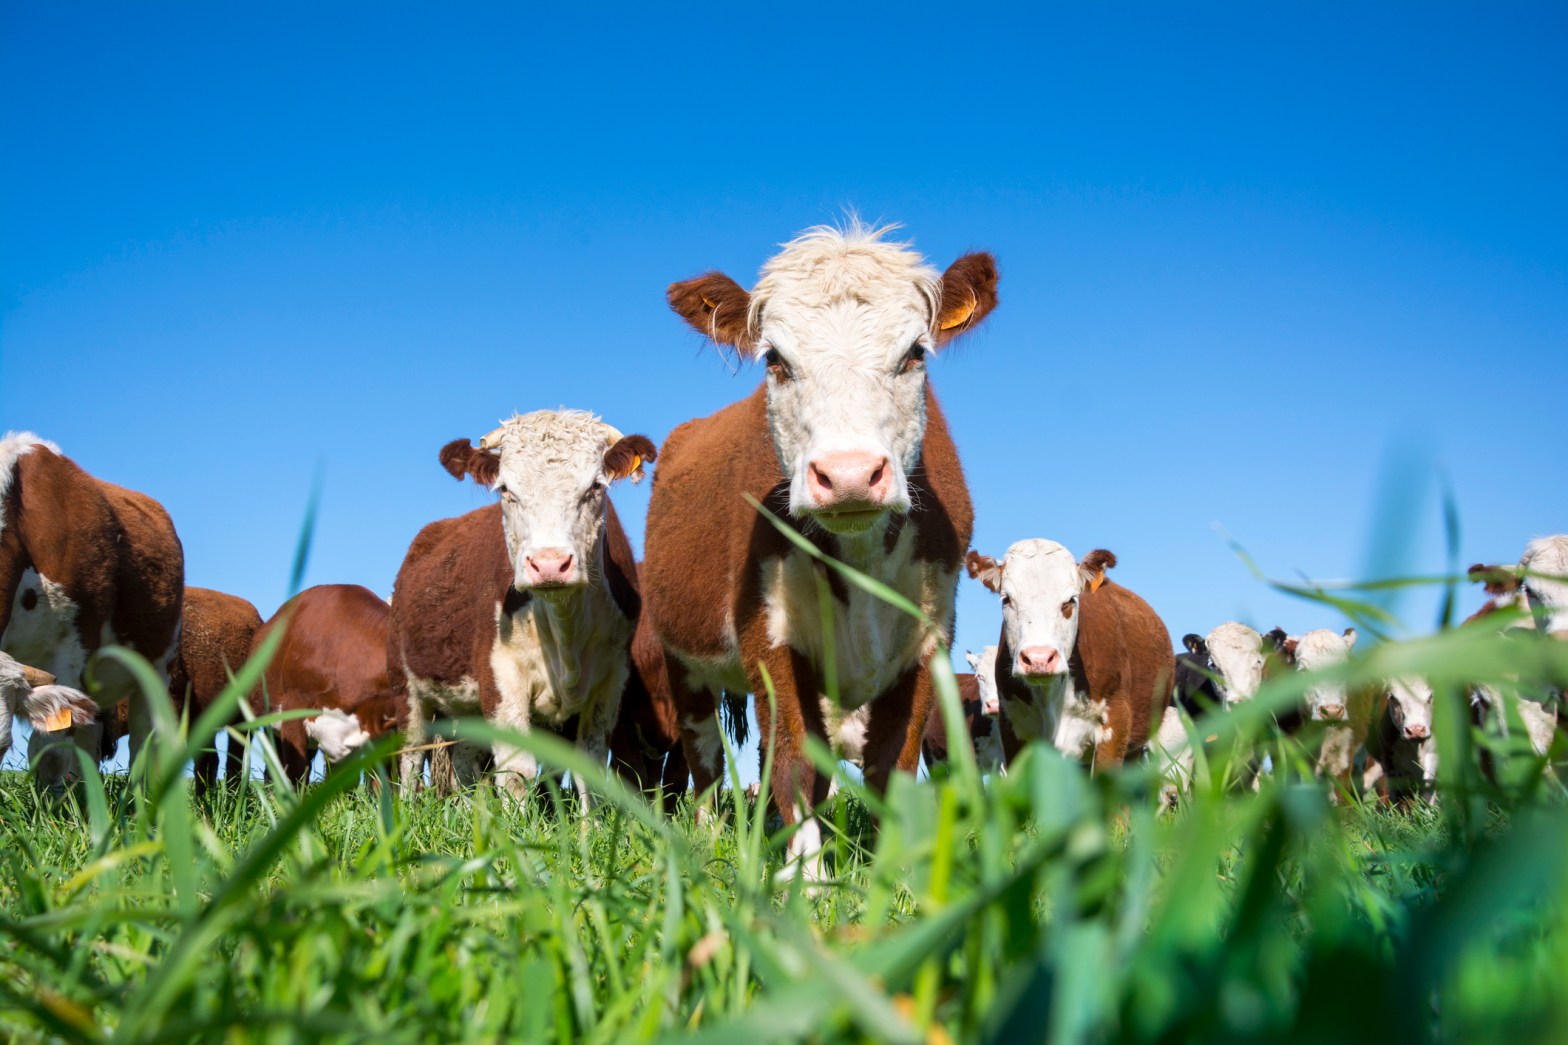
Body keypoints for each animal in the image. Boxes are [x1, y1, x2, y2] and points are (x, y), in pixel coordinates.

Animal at [390, 410, 655, 808]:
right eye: (505, 490)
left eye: (595, 487)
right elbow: (517, 773)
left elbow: (588, 770)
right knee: (410, 754)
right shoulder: (501, 675)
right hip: (407, 688)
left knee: (464, 760)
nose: (549, 563)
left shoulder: (612, 680)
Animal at [642, 222, 996, 880]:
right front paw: (805, 881)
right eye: (776, 361)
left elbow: (891, 766)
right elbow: (794, 763)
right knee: (703, 758)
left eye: (915, 353)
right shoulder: (768, 635)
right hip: (682, 657)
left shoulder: (928, 638)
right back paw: (708, 839)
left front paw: (890, 879)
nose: (850, 474)